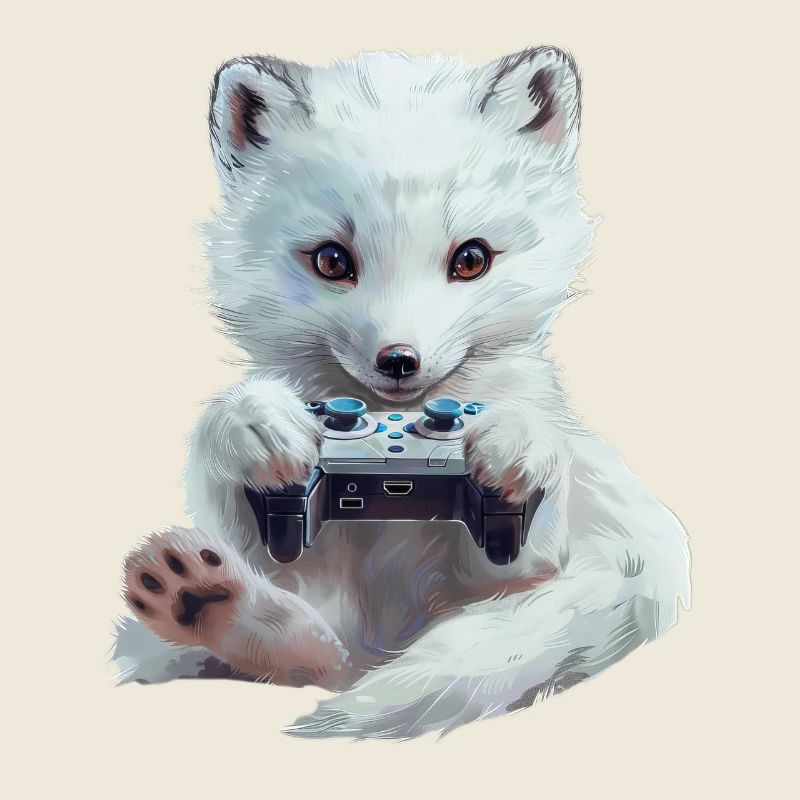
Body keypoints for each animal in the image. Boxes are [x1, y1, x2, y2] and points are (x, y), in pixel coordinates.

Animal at [113, 46, 691, 739]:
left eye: (471, 258)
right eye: (332, 260)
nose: (399, 361)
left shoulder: (522, 565)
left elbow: (518, 543)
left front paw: (518, 445)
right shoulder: (294, 550)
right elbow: (243, 493)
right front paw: (254, 423)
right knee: (318, 655)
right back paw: (204, 599)